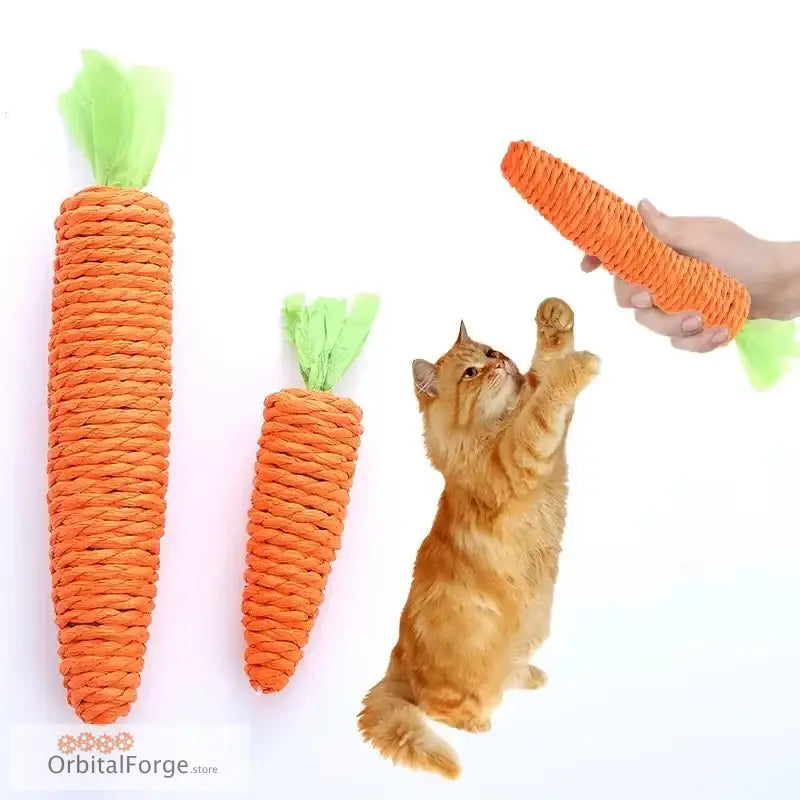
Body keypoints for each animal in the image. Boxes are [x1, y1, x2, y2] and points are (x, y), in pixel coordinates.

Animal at [358, 296, 600, 780]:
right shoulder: (521, 456)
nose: (499, 362)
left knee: (510, 673)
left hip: (532, 630)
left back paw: (531, 677)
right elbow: (548, 398)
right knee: (444, 707)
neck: (491, 430)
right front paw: (580, 364)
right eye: (470, 372)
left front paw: (554, 318)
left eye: (490, 351)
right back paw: (479, 723)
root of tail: (395, 661)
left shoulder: (546, 439)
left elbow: (544, 371)